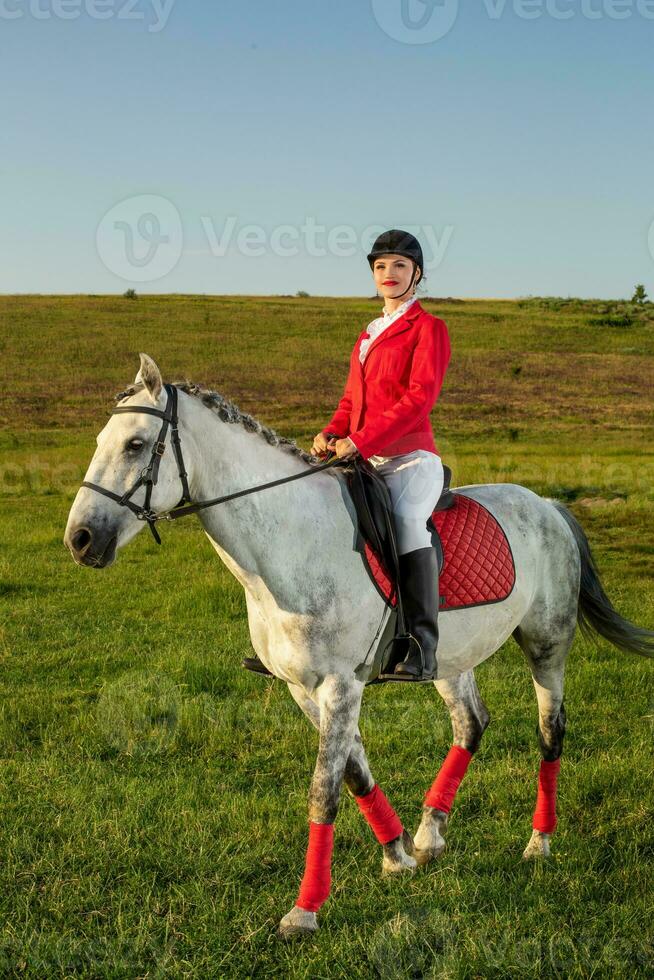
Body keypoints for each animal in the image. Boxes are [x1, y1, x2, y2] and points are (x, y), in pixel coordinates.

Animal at [62, 356, 654, 936]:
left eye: (136, 444)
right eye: (102, 440)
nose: (80, 540)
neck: (289, 543)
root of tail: (548, 504)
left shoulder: (340, 685)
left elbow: (323, 790)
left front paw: (304, 911)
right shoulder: (303, 689)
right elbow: (352, 771)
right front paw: (398, 856)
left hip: (546, 645)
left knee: (550, 732)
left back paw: (538, 843)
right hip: (448, 658)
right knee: (471, 723)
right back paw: (430, 834)